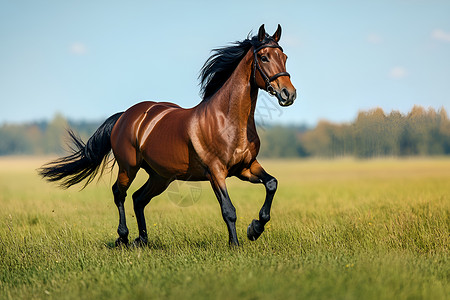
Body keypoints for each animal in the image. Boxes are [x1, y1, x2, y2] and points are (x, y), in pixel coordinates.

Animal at [38, 24, 298, 246]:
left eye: (284, 57)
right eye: (264, 57)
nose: (289, 94)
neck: (228, 120)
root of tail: (126, 116)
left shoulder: (246, 167)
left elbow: (272, 184)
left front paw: (254, 229)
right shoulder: (216, 172)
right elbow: (228, 210)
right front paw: (235, 244)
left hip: (161, 176)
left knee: (138, 198)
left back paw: (141, 240)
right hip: (129, 168)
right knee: (119, 194)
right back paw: (123, 237)